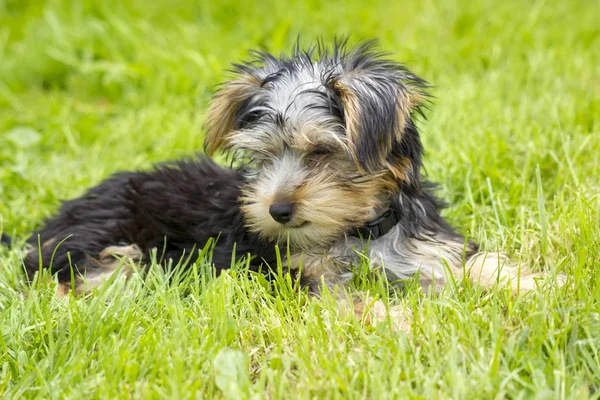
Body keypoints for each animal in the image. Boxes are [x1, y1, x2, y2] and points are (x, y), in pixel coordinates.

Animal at [5, 39, 556, 300]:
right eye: (265, 158)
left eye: (321, 154)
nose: (278, 211)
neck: (358, 230)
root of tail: (50, 222)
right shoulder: (304, 278)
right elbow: (358, 306)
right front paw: (400, 323)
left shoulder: (425, 246)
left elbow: (474, 265)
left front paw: (539, 288)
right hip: (109, 245)